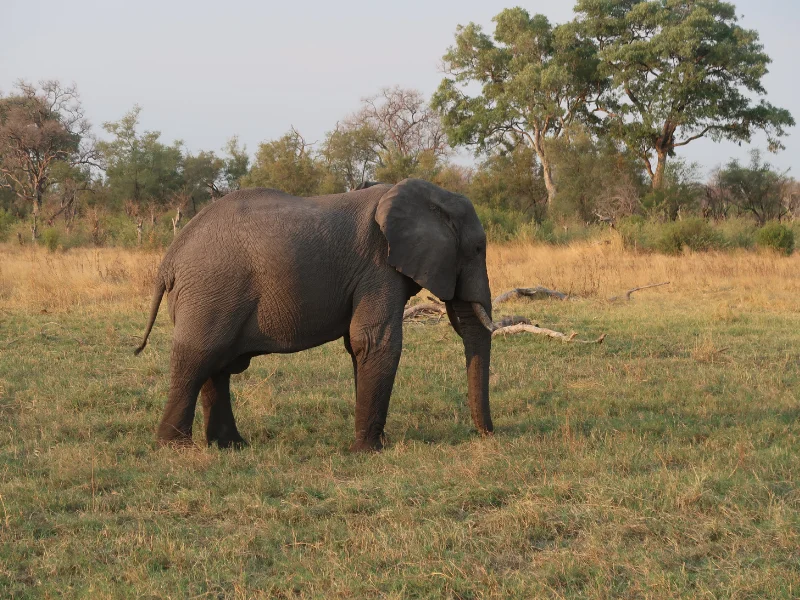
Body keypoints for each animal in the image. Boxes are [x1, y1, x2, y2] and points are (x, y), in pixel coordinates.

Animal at [134, 178, 495, 451]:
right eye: (478, 248)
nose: (489, 435)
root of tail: (169, 258)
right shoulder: (378, 268)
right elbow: (374, 341)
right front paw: (368, 451)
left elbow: (357, 346)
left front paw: (373, 443)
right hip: (209, 290)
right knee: (197, 358)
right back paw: (176, 448)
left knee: (216, 365)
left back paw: (231, 446)